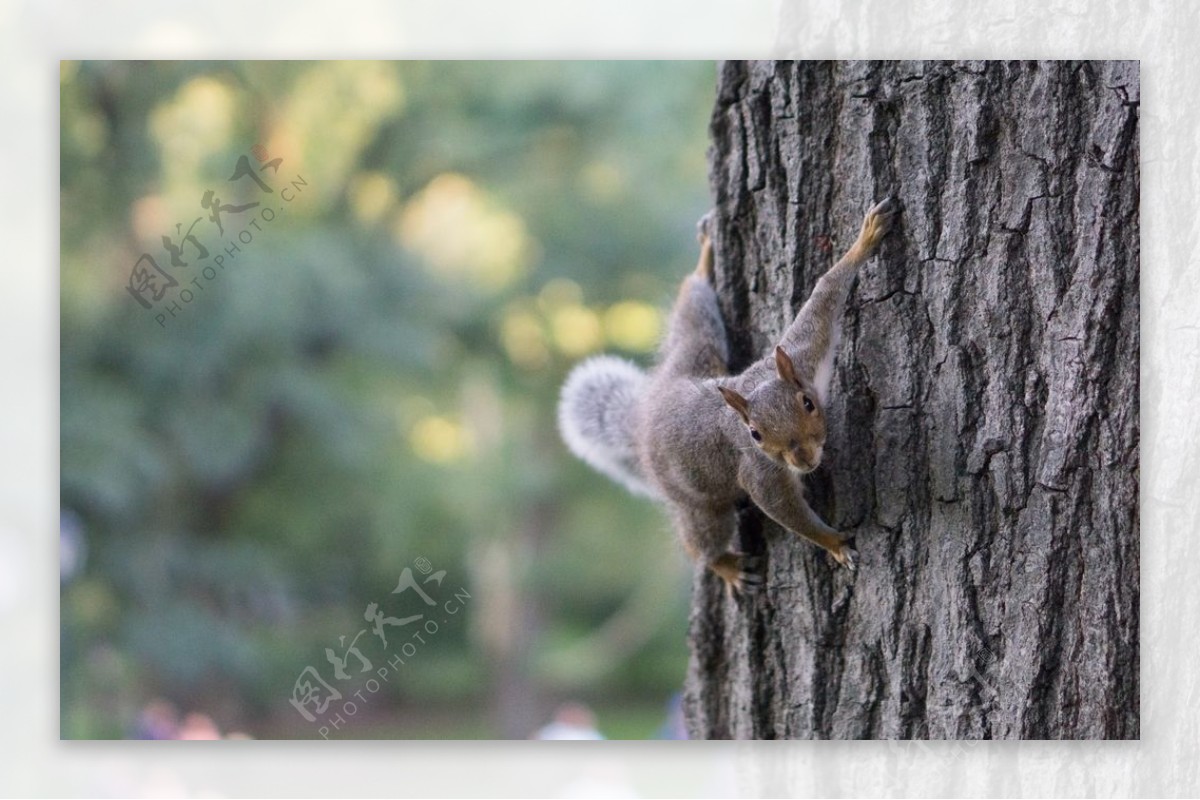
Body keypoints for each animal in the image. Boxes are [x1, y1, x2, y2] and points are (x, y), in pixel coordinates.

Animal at [556, 199, 897, 594]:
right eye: (755, 435)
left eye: (808, 404)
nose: (803, 459)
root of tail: (645, 416)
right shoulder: (760, 472)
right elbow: (784, 511)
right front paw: (834, 544)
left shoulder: (803, 353)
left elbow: (825, 292)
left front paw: (866, 239)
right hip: (697, 502)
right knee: (700, 541)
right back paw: (726, 567)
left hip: (695, 350)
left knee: (692, 314)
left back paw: (704, 264)